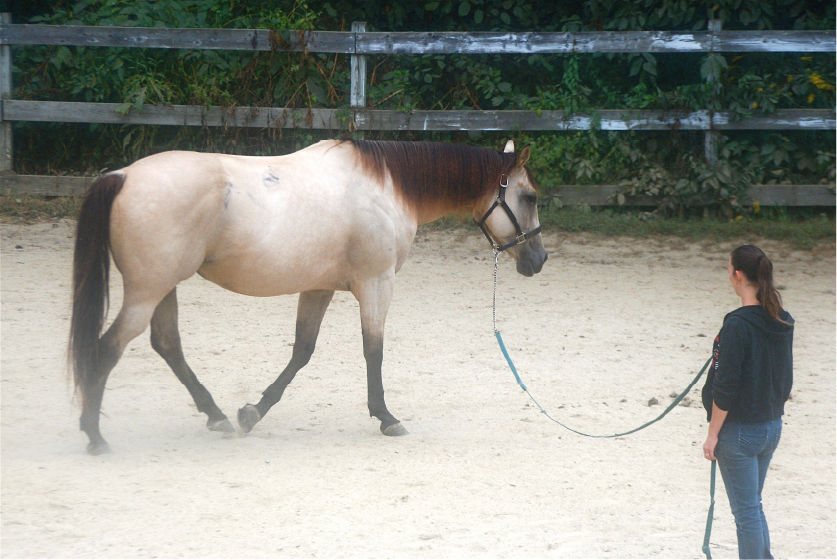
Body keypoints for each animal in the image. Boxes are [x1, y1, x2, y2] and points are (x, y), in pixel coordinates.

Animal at [68, 139, 548, 455]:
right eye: (529, 196)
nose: (539, 259)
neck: (387, 187)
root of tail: (122, 176)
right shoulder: (377, 284)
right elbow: (373, 350)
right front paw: (386, 417)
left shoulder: (318, 288)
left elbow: (301, 351)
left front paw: (253, 412)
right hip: (147, 292)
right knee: (107, 348)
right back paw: (93, 435)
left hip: (162, 288)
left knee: (167, 345)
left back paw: (216, 416)